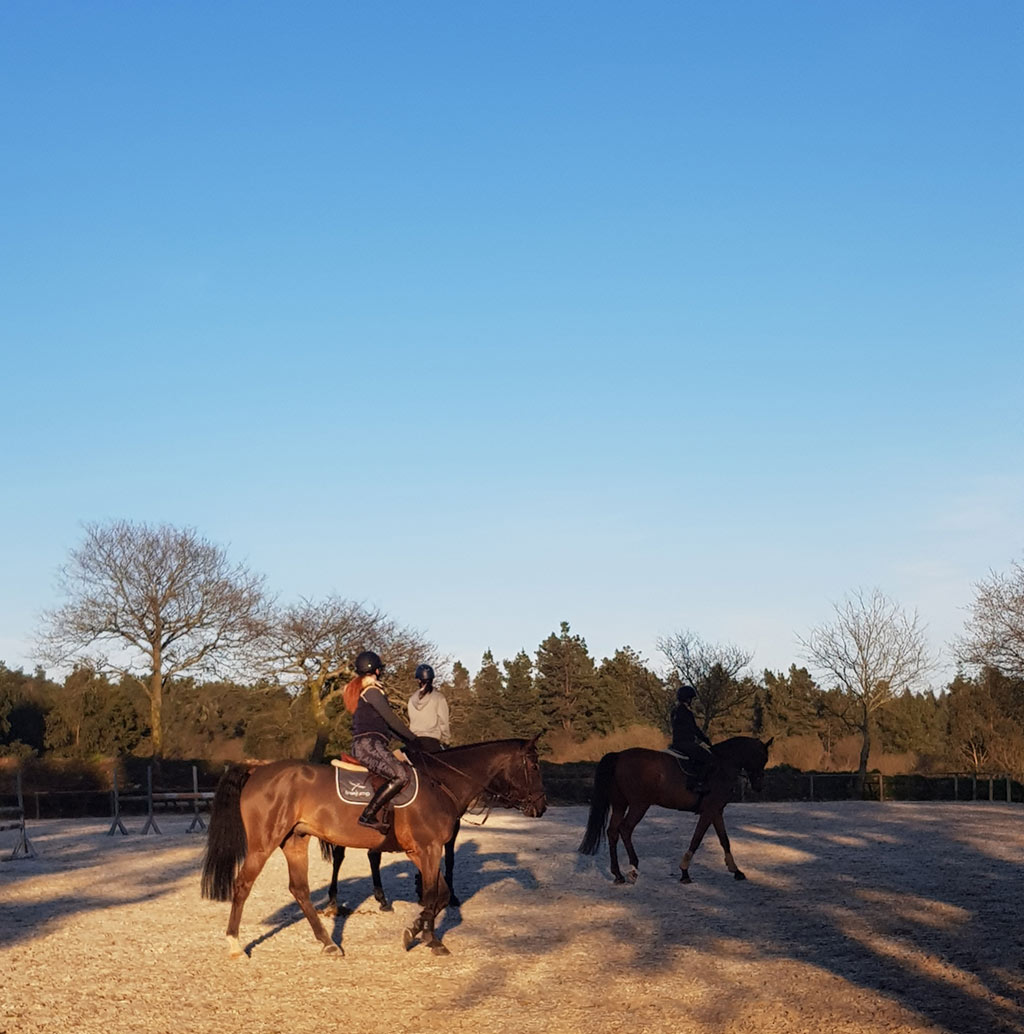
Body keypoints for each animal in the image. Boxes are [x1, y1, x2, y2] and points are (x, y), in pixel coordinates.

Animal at [203, 740, 550, 955]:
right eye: (534, 767)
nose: (542, 807)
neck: (442, 782)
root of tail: (258, 770)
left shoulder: (423, 852)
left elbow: (437, 895)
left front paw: (422, 933)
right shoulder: (428, 849)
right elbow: (433, 895)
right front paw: (424, 937)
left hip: (295, 840)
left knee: (299, 890)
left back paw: (329, 943)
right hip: (264, 843)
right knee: (242, 885)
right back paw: (235, 944)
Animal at [579, 736, 773, 880]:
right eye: (763, 758)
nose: (759, 786)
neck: (723, 764)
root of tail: (619, 755)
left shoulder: (717, 811)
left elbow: (724, 840)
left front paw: (736, 870)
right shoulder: (709, 810)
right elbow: (697, 839)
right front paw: (684, 871)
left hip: (620, 804)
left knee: (612, 832)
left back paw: (618, 874)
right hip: (639, 805)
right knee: (625, 829)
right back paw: (634, 868)